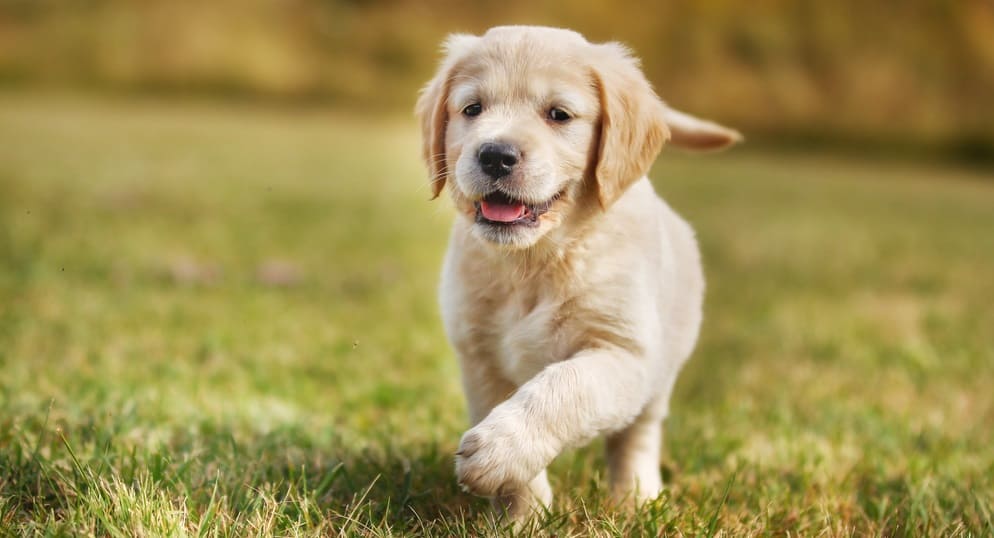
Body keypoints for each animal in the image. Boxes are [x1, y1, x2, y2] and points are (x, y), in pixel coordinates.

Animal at [414, 27, 740, 516]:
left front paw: (500, 450)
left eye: (559, 115)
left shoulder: (624, 353)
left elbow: (564, 387)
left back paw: (636, 498)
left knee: (638, 436)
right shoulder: (481, 359)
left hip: (661, 372)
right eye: (472, 109)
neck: (535, 261)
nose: (495, 155)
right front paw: (525, 515)